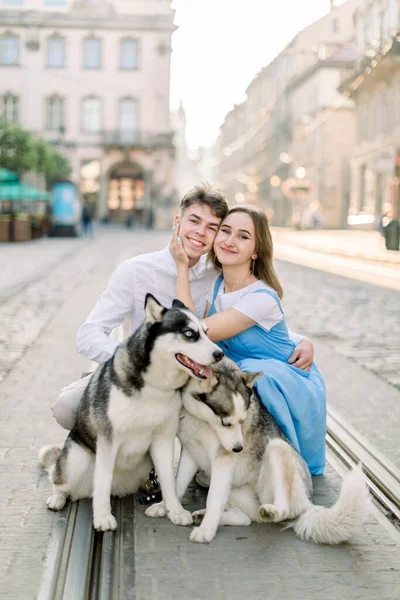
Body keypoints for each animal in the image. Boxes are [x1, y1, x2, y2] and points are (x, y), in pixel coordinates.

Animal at [39, 292, 223, 532]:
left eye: (207, 332)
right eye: (190, 334)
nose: (220, 353)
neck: (154, 387)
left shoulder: (163, 439)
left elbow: (168, 480)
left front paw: (174, 510)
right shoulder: (107, 440)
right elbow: (102, 482)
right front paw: (102, 517)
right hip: (75, 461)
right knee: (59, 478)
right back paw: (57, 498)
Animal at [147, 358, 368, 548]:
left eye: (242, 420)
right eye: (226, 423)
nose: (238, 448)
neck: (199, 418)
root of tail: (308, 503)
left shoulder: (222, 460)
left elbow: (213, 500)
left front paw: (206, 530)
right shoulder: (191, 452)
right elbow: (177, 484)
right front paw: (168, 507)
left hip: (276, 449)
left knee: (282, 509)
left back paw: (271, 511)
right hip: (232, 489)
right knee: (246, 519)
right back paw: (209, 515)